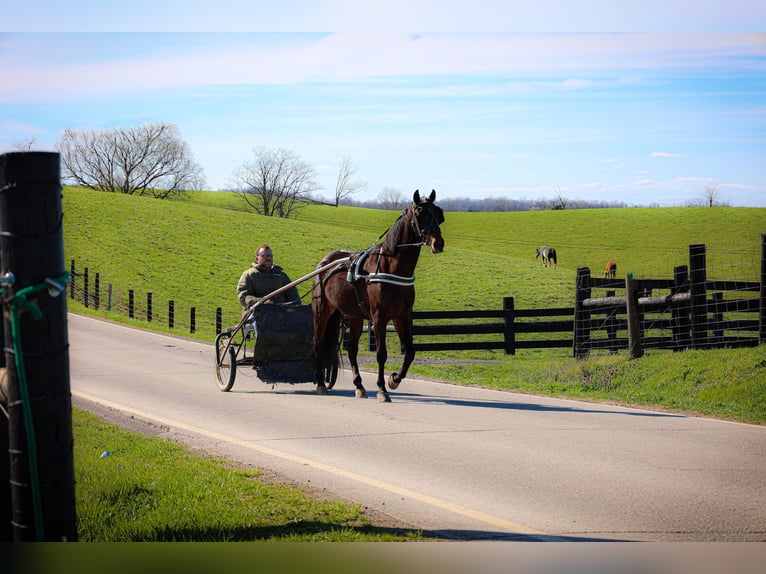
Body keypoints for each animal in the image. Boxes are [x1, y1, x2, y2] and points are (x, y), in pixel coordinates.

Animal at [310, 190, 444, 404]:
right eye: (420, 212)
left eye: (438, 213)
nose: (437, 243)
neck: (391, 267)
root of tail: (326, 263)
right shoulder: (379, 317)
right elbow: (381, 353)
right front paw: (382, 389)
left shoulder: (401, 317)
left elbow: (410, 352)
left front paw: (394, 380)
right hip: (322, 311)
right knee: (319, 344)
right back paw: (321, 384)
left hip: (354, 316)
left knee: (352, 350)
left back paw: (359, 386)